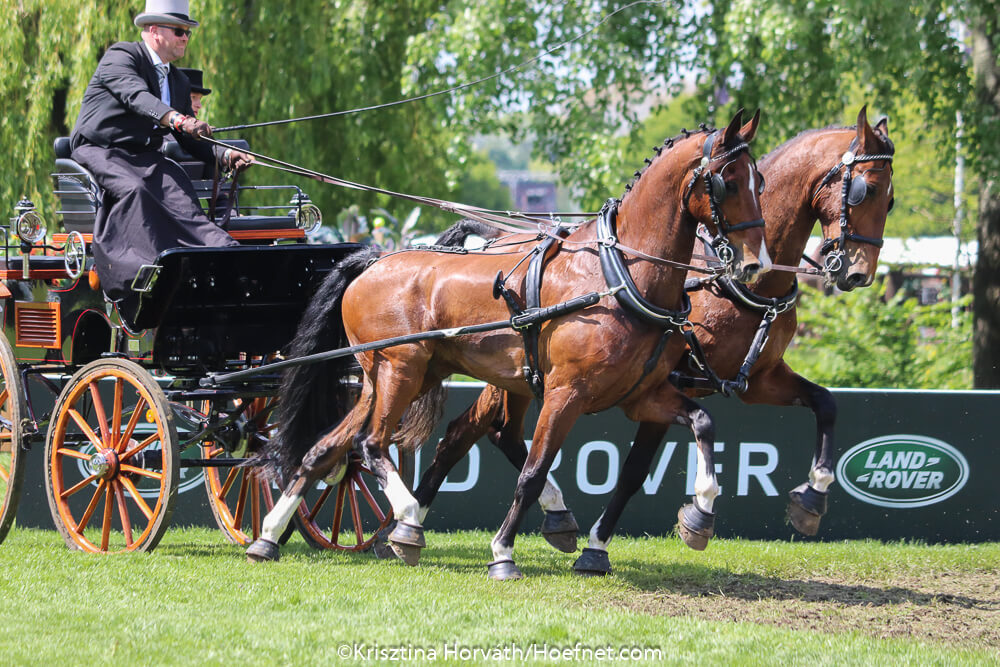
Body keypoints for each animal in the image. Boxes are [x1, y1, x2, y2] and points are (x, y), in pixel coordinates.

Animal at [245, 109, 771, 580]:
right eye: (726, 182)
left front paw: (701, 513)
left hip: (391, 378)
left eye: (760, 182)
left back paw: (269, 535)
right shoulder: (565, 393)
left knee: (326, 448)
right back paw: (408, 522)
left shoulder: (642, 396)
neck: (617, 276)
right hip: (401, 368)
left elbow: (702, 422)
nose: (755, 265)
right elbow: (533, 471)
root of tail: (375, 258)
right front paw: (502, 553)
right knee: (371, 444)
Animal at [409, 106, 895, 574]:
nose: (859, 273)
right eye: (864, 190)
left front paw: (813, 495)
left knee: (494, 434)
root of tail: (498, 239)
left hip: (520, 379)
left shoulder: (755, 381)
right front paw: (694, 513)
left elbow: (824, 404)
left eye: (890, 199)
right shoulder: (660, 387)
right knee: (471, 434)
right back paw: (414, 520)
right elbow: (638, 467)